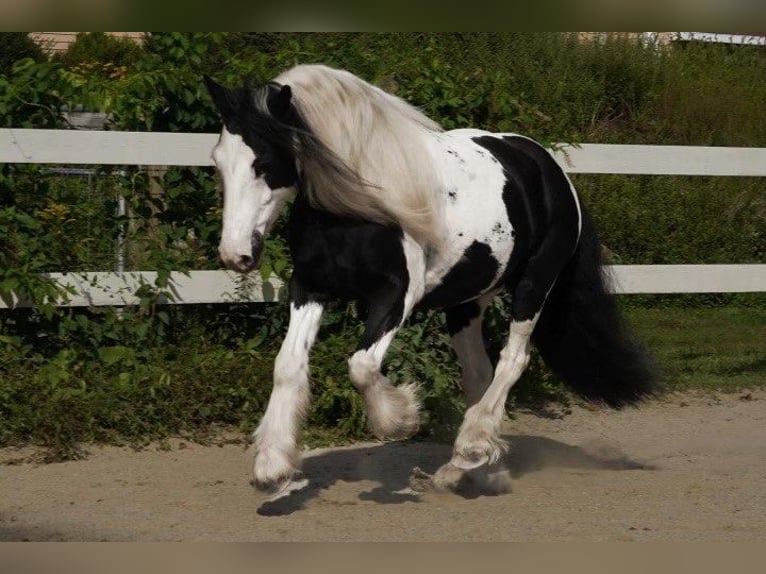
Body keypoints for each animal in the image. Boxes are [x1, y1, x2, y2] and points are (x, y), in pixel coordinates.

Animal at [206, 66, 660, 500]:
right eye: (218, 162)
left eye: (263, 162)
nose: (235, 255)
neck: (357, 207)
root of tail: (550, 170)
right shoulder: (311, 289)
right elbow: (287, 365)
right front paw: (272, 468)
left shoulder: (395, 296)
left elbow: (362, 366)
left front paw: (402, 420)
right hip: (467, 304)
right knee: (479, 373)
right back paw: (467, 470)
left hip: (534, 286)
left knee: (513, 360)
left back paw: (473, 448)